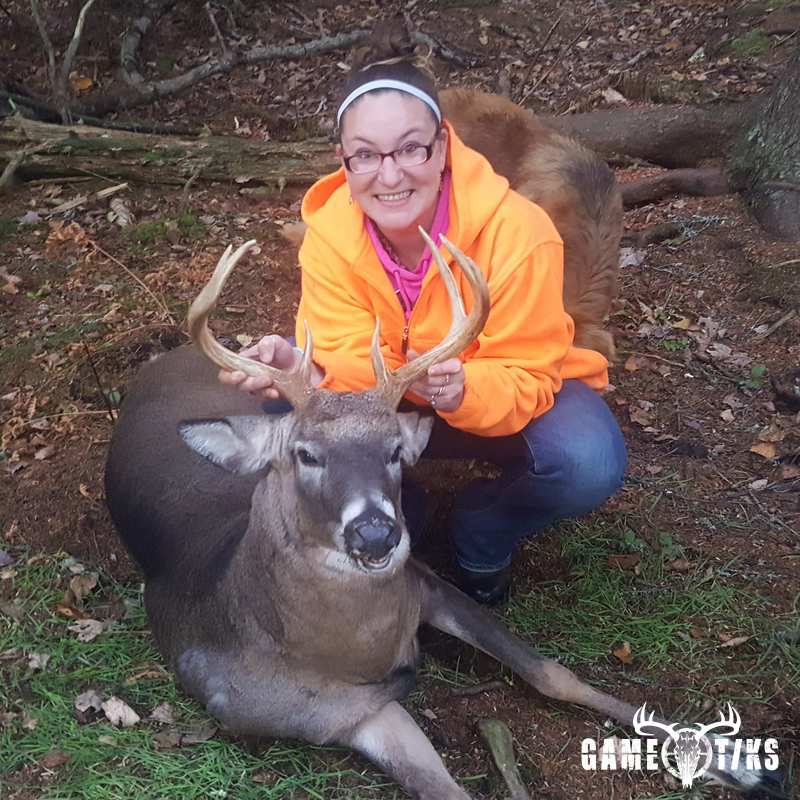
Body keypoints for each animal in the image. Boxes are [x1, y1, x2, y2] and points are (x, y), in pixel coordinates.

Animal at [105, 233, 780, 799]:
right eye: (305, 454)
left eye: (394, 451)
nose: (376, 533)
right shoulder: (312, 709)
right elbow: (439, 786)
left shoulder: (428, 583)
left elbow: (553, 673)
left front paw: (742, 763)